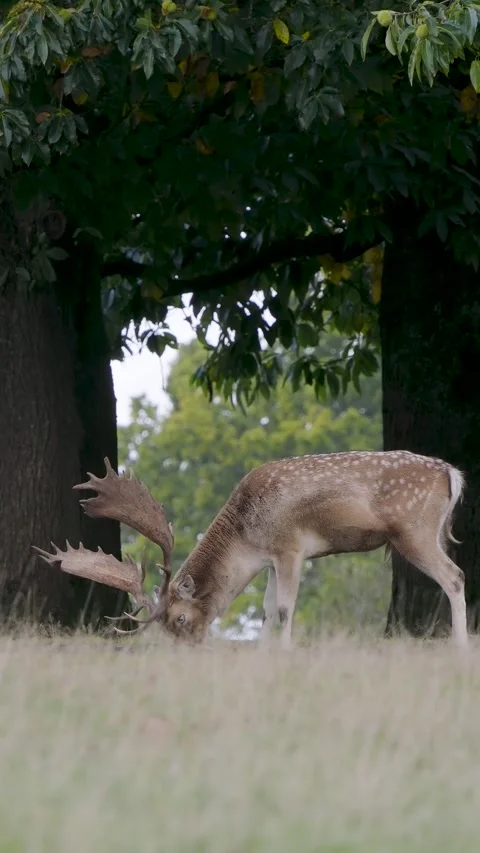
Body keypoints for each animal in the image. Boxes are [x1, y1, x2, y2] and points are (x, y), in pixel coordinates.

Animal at [33, 450, 468, 648]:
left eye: (180, 619)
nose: (189, 650)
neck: (246, 534)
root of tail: (452, 472)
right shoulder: (271, 558)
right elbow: (265, 611)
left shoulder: (291, 547)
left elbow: (285, 608)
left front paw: (286, 655)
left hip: (414, 531)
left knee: (456, 576)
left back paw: (460, 650)